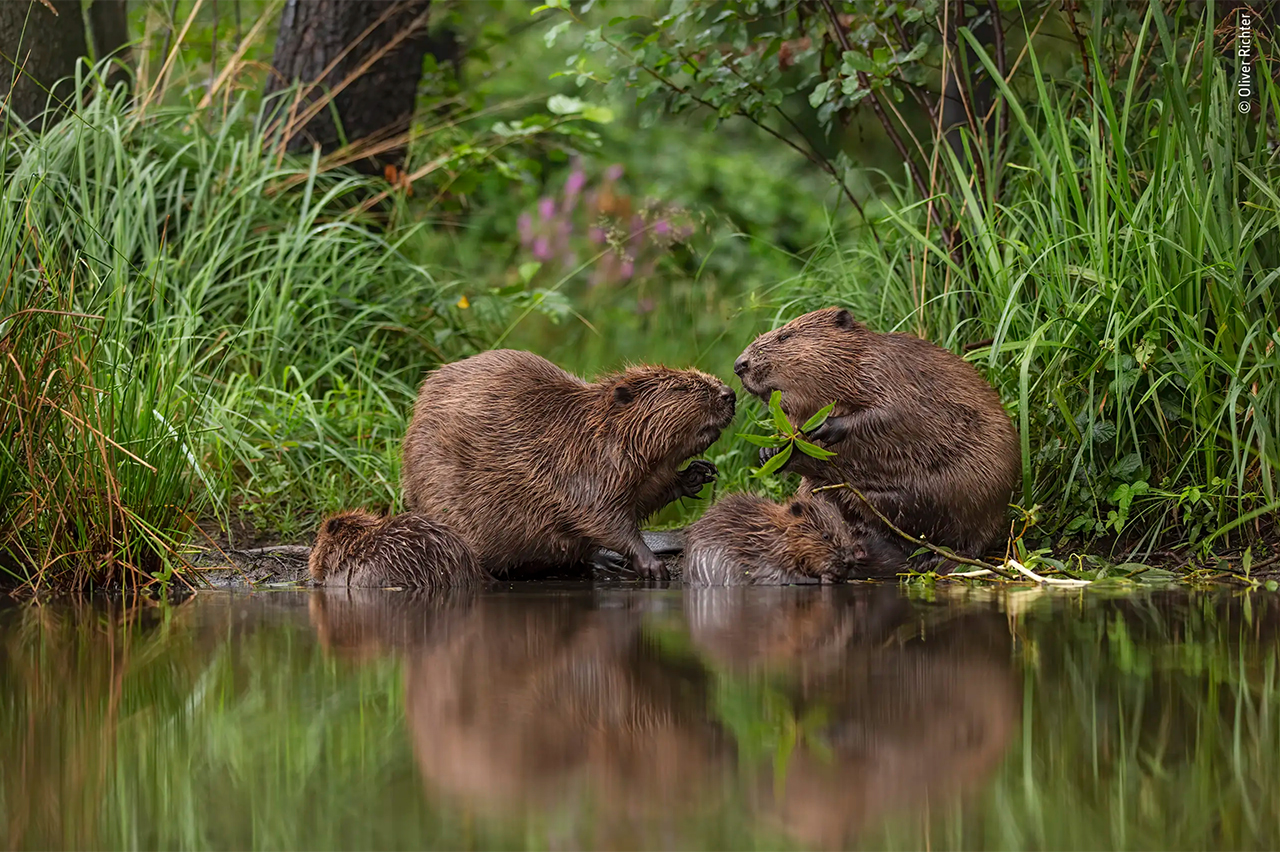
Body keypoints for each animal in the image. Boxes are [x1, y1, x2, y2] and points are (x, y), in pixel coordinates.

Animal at [404, 347, 737, 578]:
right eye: (682, 387)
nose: (729, 393)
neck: (593, 431)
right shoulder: (582, 469)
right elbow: (603, 518)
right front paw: (652, 566)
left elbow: (647, 496)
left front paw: (698, 473)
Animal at [680, 491, 890, 583]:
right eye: (825, 536)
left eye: (848, 533)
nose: (849, 561)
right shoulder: (762, 557)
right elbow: (777, 575)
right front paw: (827, 577)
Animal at [732, 305, 1018, 570]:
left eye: (785, 336)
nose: (739, 364)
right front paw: (770, 452)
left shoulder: (885, 369)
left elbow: (894, 410)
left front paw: (826, 426)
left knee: (972, 539)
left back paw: (937, 559)